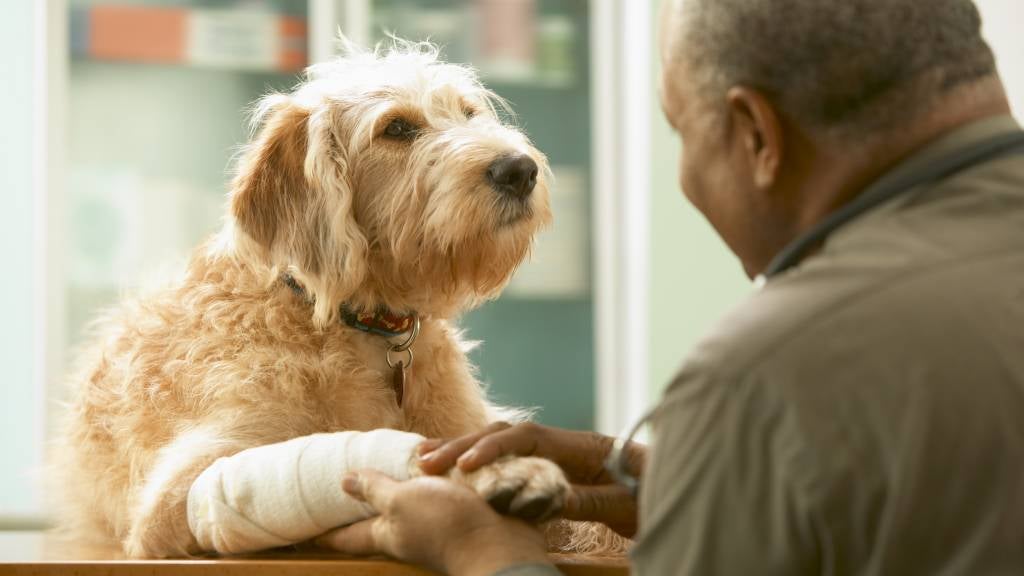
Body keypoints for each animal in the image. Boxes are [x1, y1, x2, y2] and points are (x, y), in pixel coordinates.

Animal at [54, 39, 622, 557]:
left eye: (468, 113)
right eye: (397, 128)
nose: (519, 169)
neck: (356, 325)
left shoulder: (470, 424)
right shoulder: (187, 492)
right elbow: (405, 457)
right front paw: (504, 472)